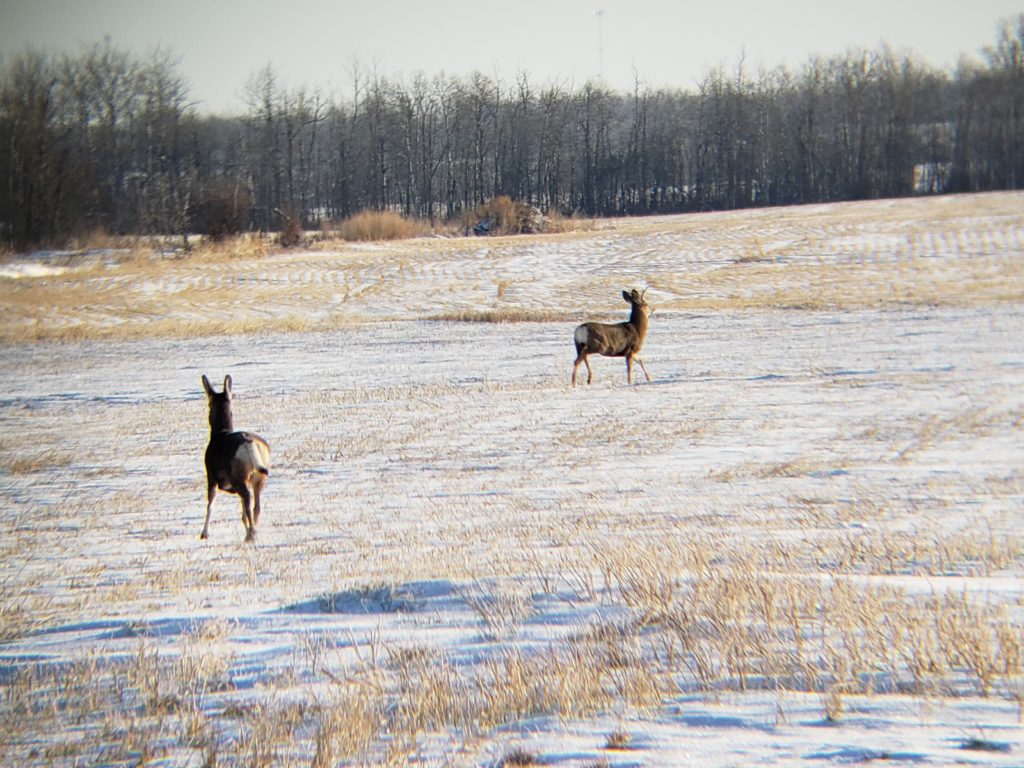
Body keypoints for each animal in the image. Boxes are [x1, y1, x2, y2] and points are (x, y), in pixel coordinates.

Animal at [199, 376, 270, 544]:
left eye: (209, 403)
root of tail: (250, 444)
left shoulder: (211, 477)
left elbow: (210, 503)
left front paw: (204, 534)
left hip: (239, 478)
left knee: (248, 499)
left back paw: (251, 535)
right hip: (259, 478)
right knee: (256, 506)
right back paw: (251, 532)